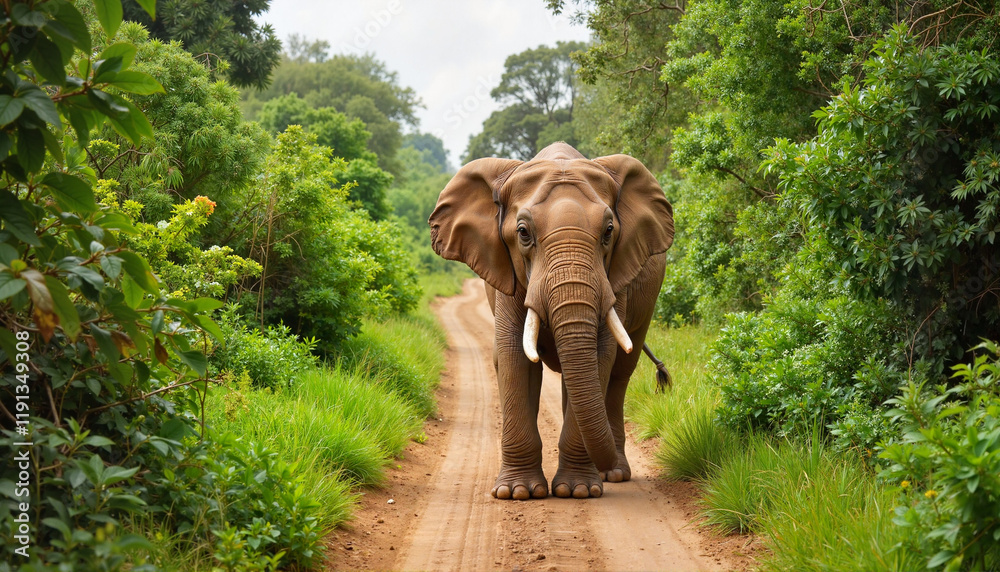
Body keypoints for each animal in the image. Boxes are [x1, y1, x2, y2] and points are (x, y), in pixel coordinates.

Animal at [429, 142, 674, 499]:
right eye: (523, 233)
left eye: (609, 232)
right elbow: (514, 357)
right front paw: (517, 493)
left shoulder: (615, 279)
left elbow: (601, 355)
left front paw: (578, 491)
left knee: (619, 374)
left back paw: (613, 473)